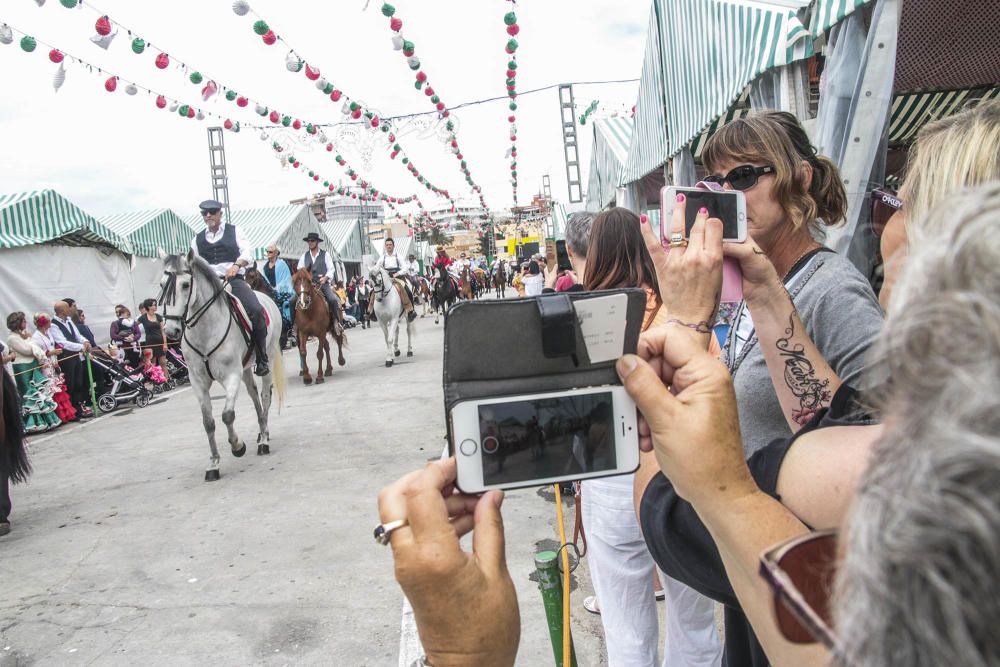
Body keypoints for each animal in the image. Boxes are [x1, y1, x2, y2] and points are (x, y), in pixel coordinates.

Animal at [160, 254, 286, 480]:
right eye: (161, 284)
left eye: (185, 285)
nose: (171, 330)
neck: (205, 332)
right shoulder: (198, 382)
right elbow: (208, 422)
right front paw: (213, 464)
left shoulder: (231, 375)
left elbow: (227, 415)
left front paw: (238, 446)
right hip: (246, 368)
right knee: (254, 396)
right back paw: (262, 431)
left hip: (268, 358)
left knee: (264, 396)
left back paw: (263, 441)